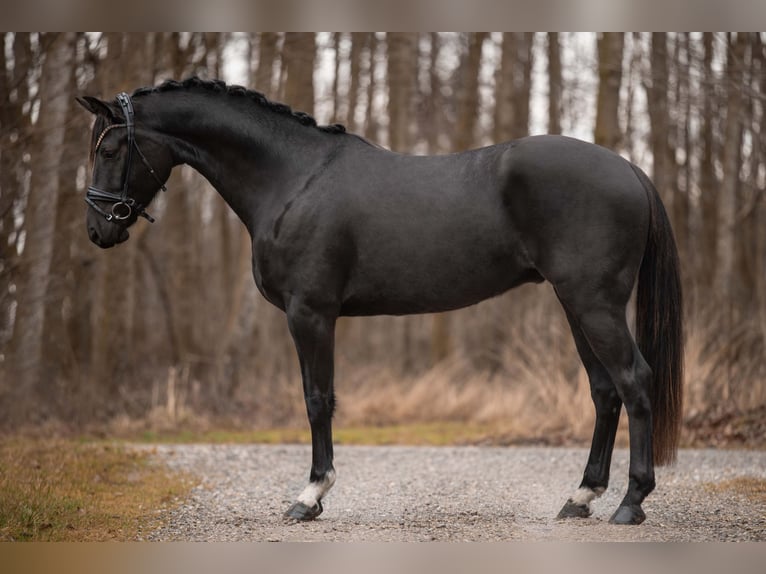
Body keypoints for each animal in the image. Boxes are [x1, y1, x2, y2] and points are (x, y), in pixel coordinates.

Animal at [76, 79, 684, 528]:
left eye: (109, 148)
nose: (98, 229)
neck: (292, 179)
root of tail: (629, 168)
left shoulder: (310, 313)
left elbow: (317, 400)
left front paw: (310, 496)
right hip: (575, 302)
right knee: (605, 391)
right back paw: (581, 497)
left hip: (593, 302)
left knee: (634, 380)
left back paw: (631, 504)